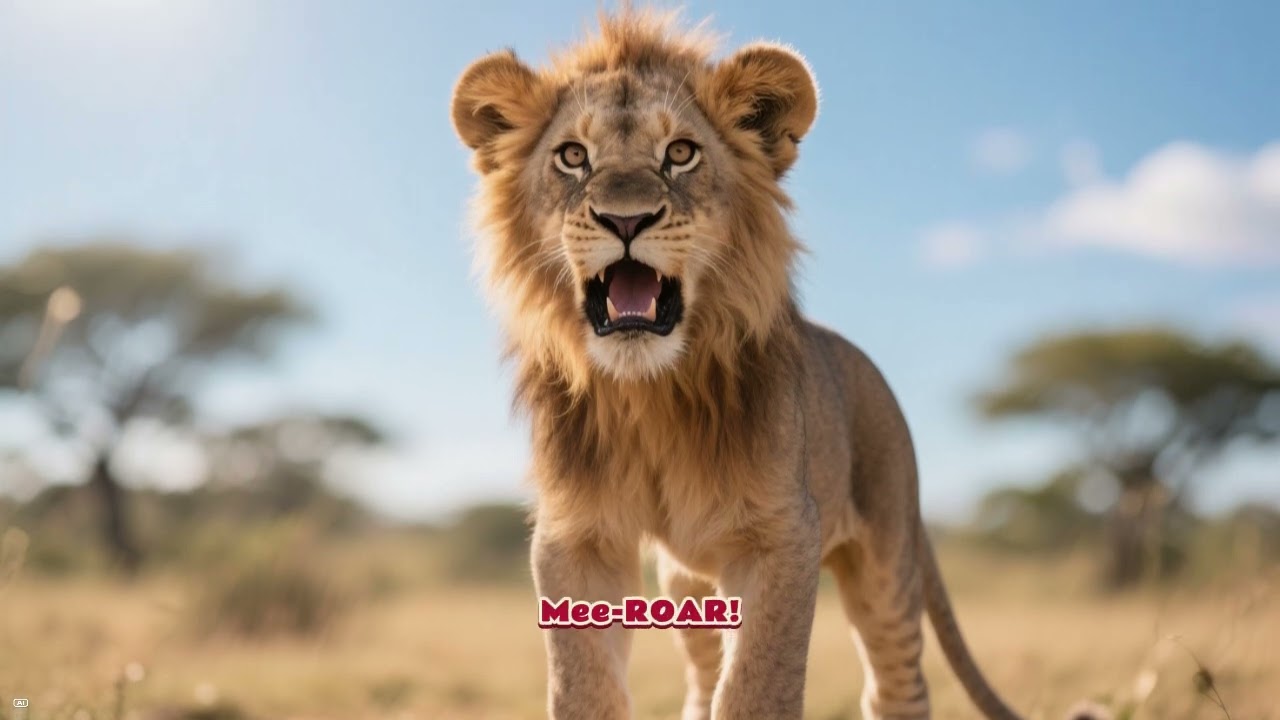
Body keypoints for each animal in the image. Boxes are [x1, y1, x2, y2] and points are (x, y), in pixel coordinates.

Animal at [450, 8, 1023, 720]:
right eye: (573, 156)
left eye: (680, 153)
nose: (625, 220)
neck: (651, 390)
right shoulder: (577, 536)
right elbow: (583, 686)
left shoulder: (782, 536)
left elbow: (758, 688)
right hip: (686, 580)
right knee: (702, 674)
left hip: (887, 564)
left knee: (898, 687)